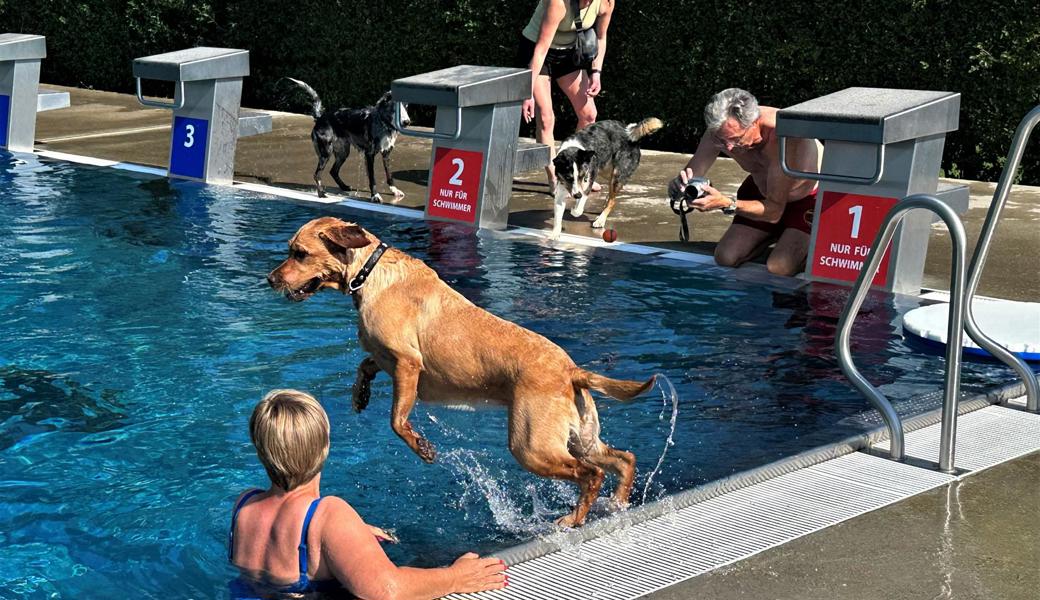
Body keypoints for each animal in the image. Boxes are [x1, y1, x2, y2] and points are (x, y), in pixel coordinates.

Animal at [270, 217, 657, 526]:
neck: (370, 273)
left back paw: (573, 519)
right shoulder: (384, 357)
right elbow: (365, 365)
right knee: (624, 459)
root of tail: (572, 370)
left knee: (591, 474)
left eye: (299, 253)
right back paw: (617, 503)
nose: (270, 279)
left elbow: (396, 420)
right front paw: (360, 394)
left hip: (531, 446)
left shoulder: (408, 364)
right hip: (578, 438)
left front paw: (421, 447)